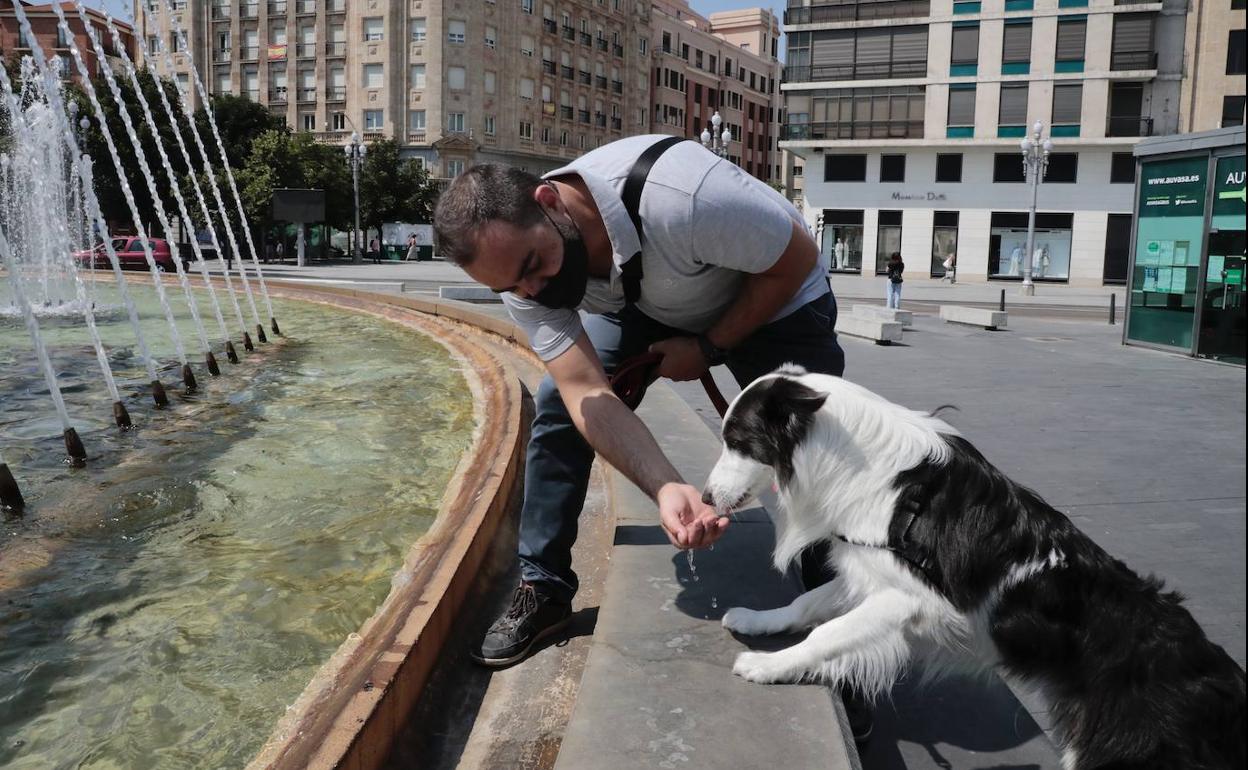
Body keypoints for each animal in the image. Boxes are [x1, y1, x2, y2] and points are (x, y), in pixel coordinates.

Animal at [708, 364, 1243, 768]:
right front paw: (758, 622)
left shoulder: (909, 599)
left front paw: (768, 666)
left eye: (739, 441)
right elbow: (806, 603)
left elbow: (827, 634)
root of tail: (1222, 678)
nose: (708, 497)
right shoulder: (874, 573)